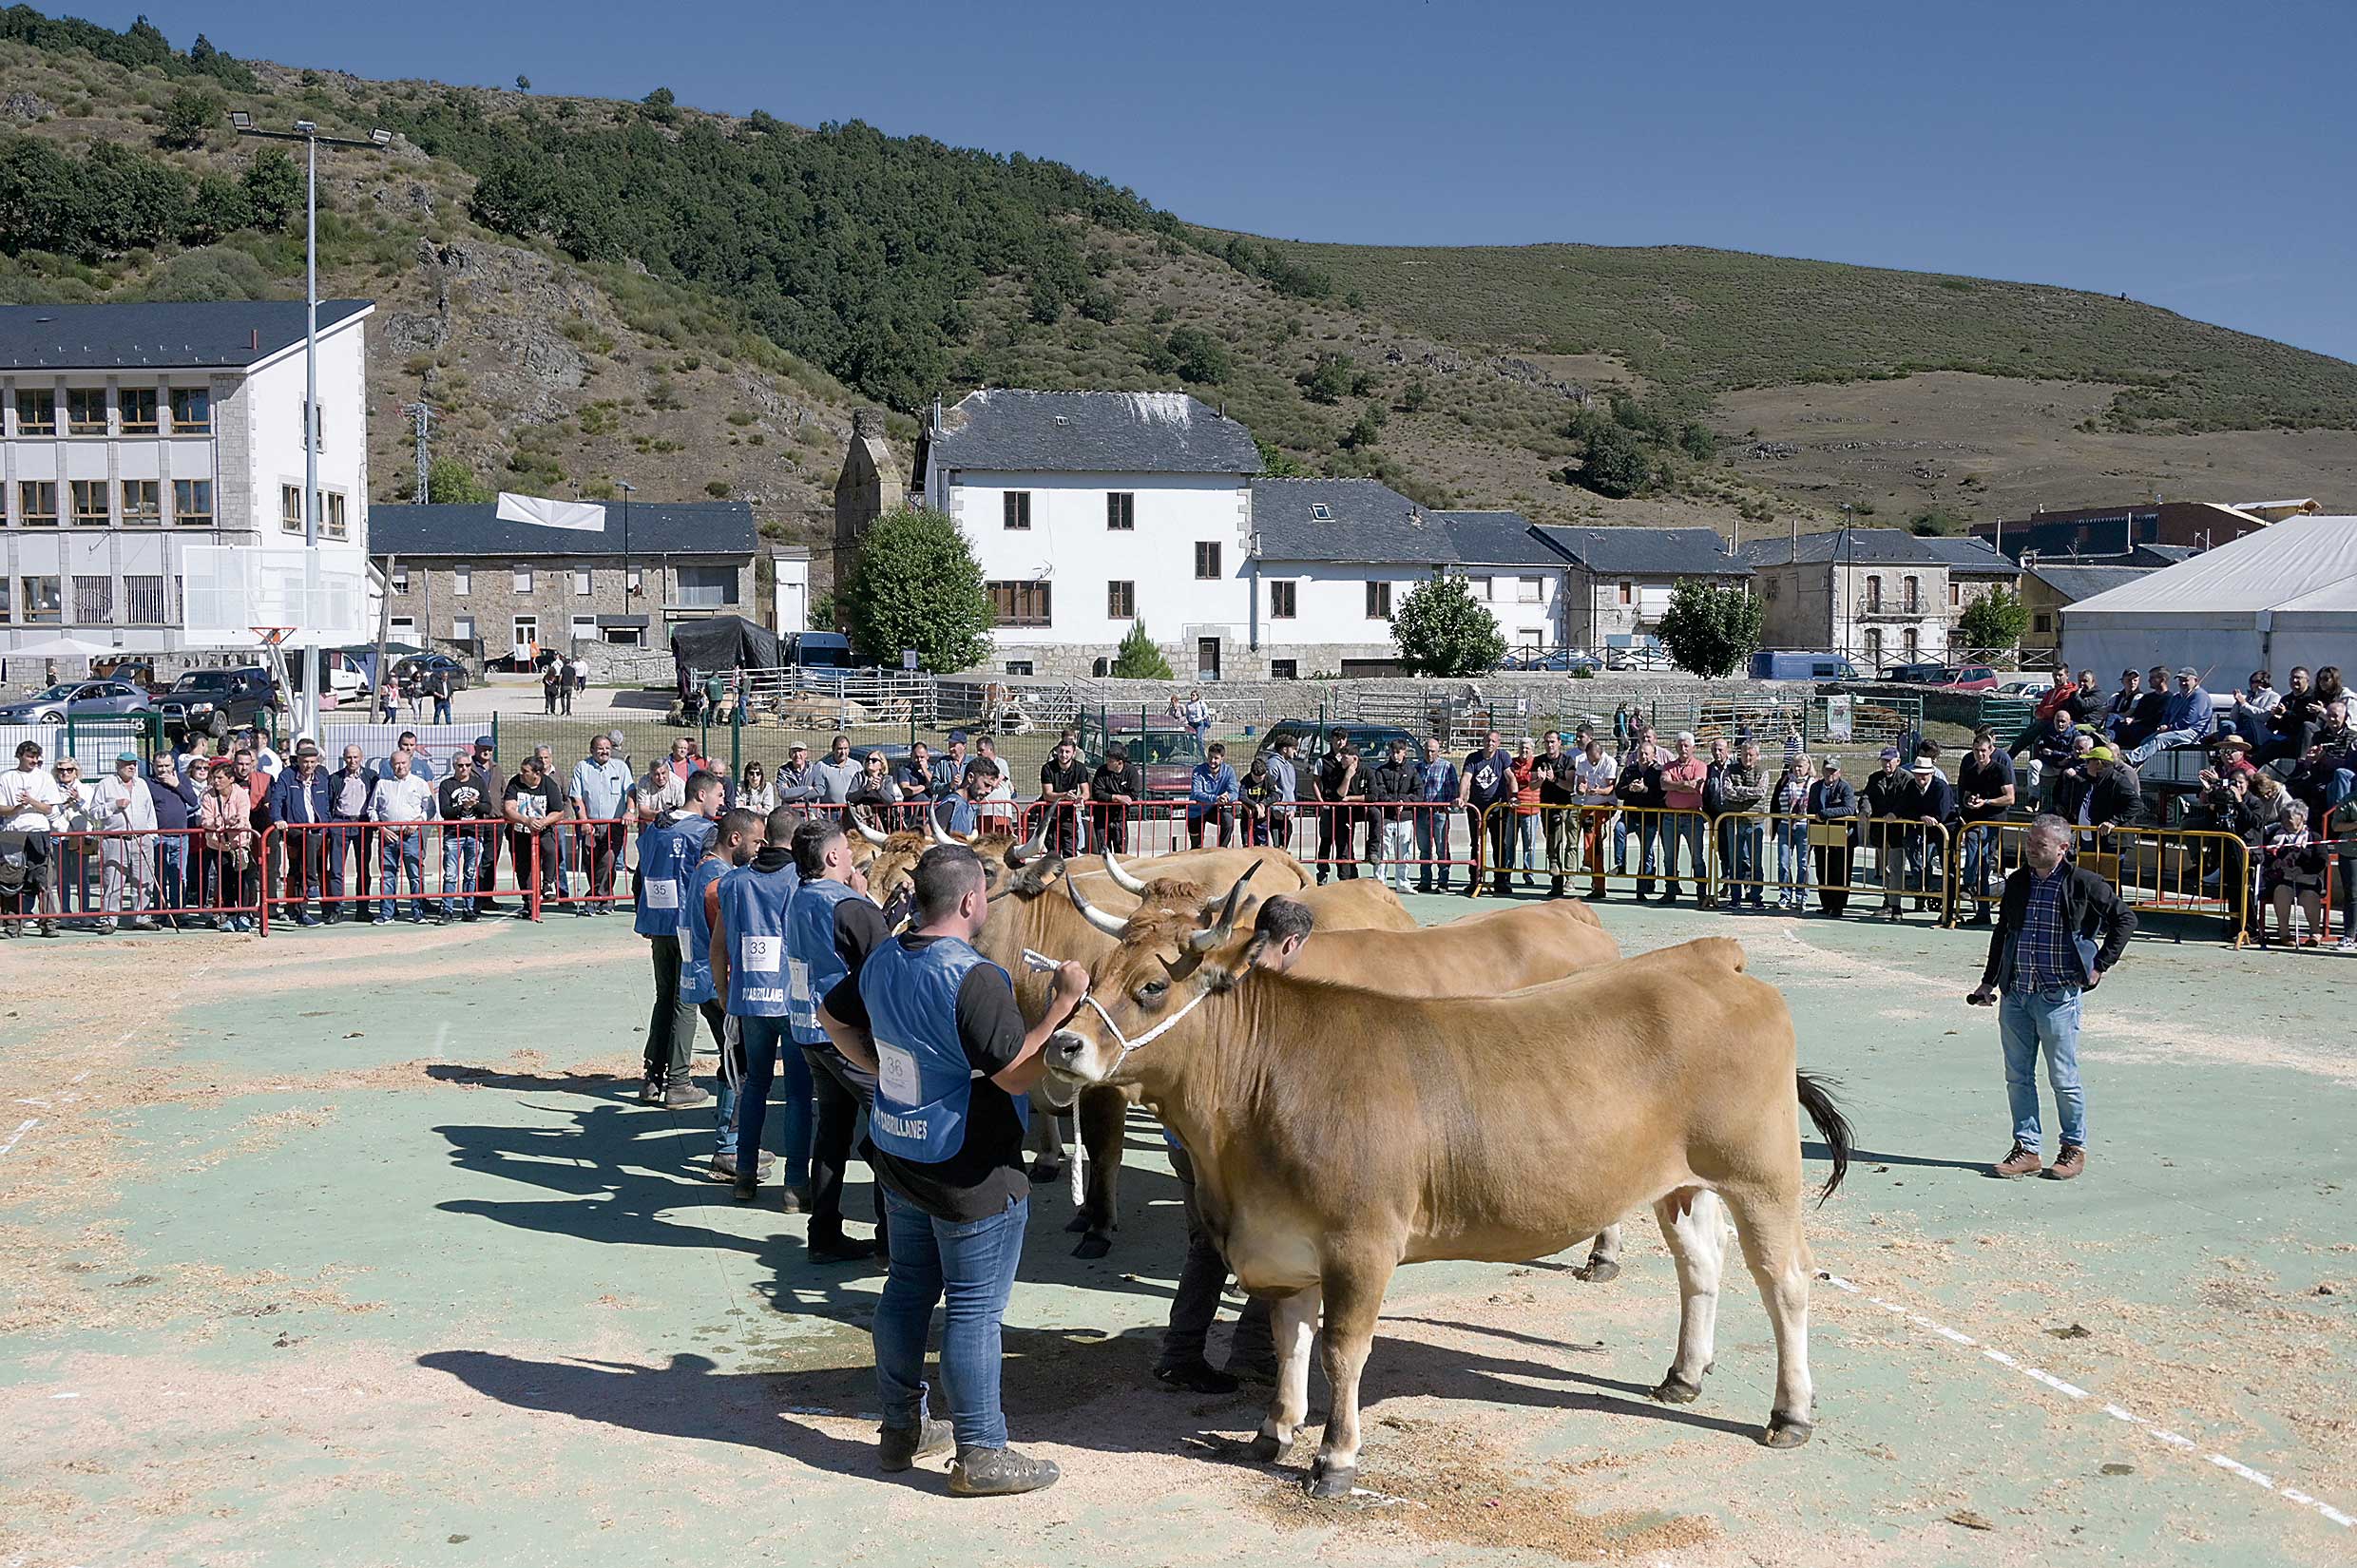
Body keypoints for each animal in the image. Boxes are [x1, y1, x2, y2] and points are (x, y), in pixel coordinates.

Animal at [1046, 886, 1838, 1500]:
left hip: (1762, 1173)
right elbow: (1290, 1337)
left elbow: (1342, 1349)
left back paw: (1790, 1414)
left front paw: (1334, 1458)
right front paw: (1274, 1428)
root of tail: (1709, 956)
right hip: (1680, 1180)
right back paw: (1682, 1376)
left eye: (1152, 987)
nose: (1063, 1044)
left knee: (1786, 1282)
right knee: (1700, 1263)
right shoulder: (1281, 1242)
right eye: (1093, 974)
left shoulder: (1362, 1245)